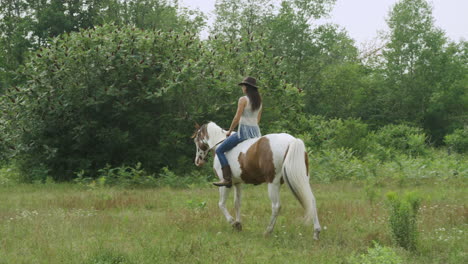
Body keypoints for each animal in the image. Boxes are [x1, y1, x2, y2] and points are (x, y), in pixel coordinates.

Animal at [192, 121, 320, 239]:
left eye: (196, 140)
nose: (198, 161)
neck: (219, 142)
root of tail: (292, 141)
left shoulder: (225, 183)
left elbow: (221, 204)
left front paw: (233, 223)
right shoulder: (237, 183)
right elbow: (237, 203)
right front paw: (238, 224)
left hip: (273, 183)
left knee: (276, 206)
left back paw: (268, 231)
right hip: (303, 179)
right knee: (311, 200)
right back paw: (316, 233)